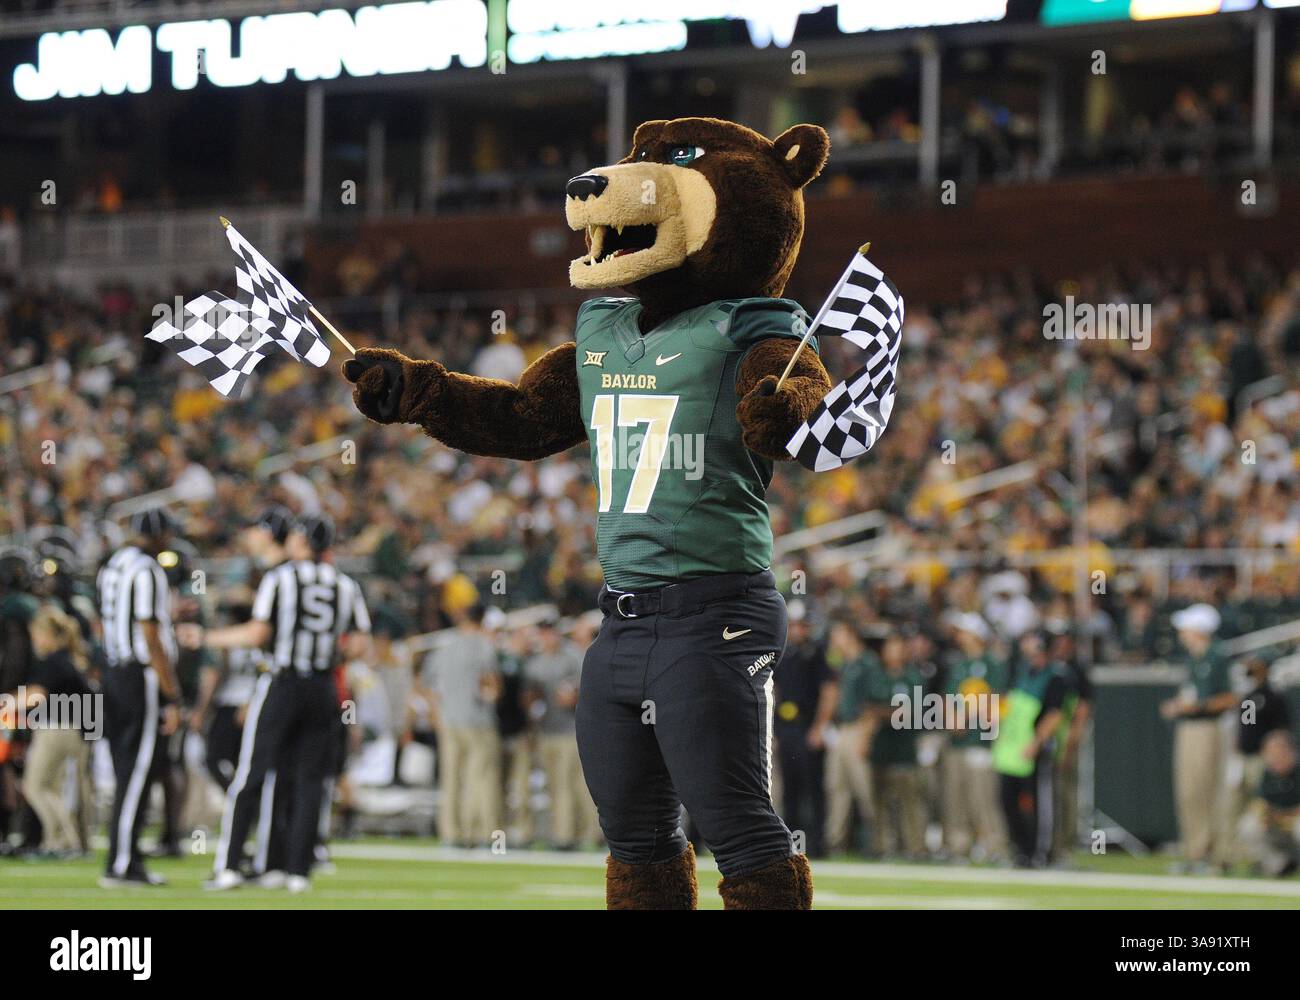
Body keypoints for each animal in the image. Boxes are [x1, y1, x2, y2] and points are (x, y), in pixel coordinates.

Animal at [344, 117, 834, 909]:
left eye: (685, 155)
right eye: (637, 149)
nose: (585, 183)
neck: (665, 306)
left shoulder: (772, 333)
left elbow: (790, 381)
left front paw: (780, 407)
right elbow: (518, 416)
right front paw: (394, 378)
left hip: (724, 682)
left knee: (751, 841)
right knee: (642, 841)